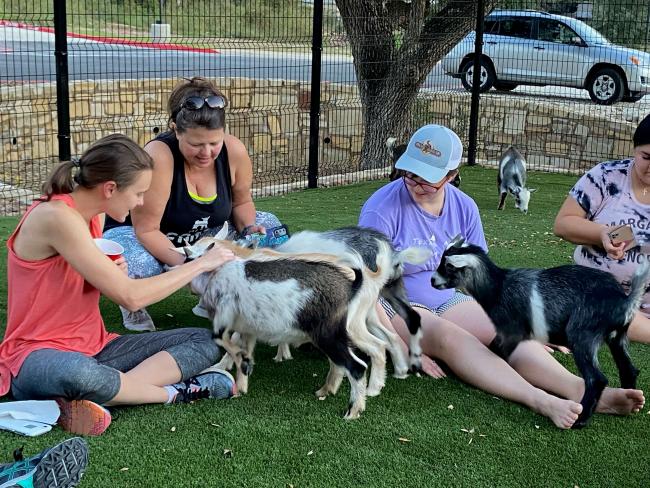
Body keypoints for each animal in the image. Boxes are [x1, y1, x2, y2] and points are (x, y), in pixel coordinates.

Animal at [428, 236, 644, 428]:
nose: (432, 280)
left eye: (448, 267)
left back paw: (581, 419)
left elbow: (497, 352)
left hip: (583, 334)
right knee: (628, 369)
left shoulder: (511, 331)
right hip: (617, 337)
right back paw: (628, 398)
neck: (498, 286)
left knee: (596, 379)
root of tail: (625, 300)